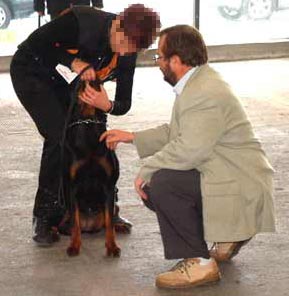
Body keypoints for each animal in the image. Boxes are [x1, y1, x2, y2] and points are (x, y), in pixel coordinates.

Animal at [59, 78, 120, 256]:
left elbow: (109, 222)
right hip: (65, 211)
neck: (88, 120)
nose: (91, 75)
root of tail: (90, 225)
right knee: (68, 223)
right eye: (79, 82)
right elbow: (75, 223)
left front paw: (112, 246)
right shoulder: (72, 186)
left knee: (110, 219)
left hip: (114, 202)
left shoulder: (109, 185)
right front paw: (74, 246)